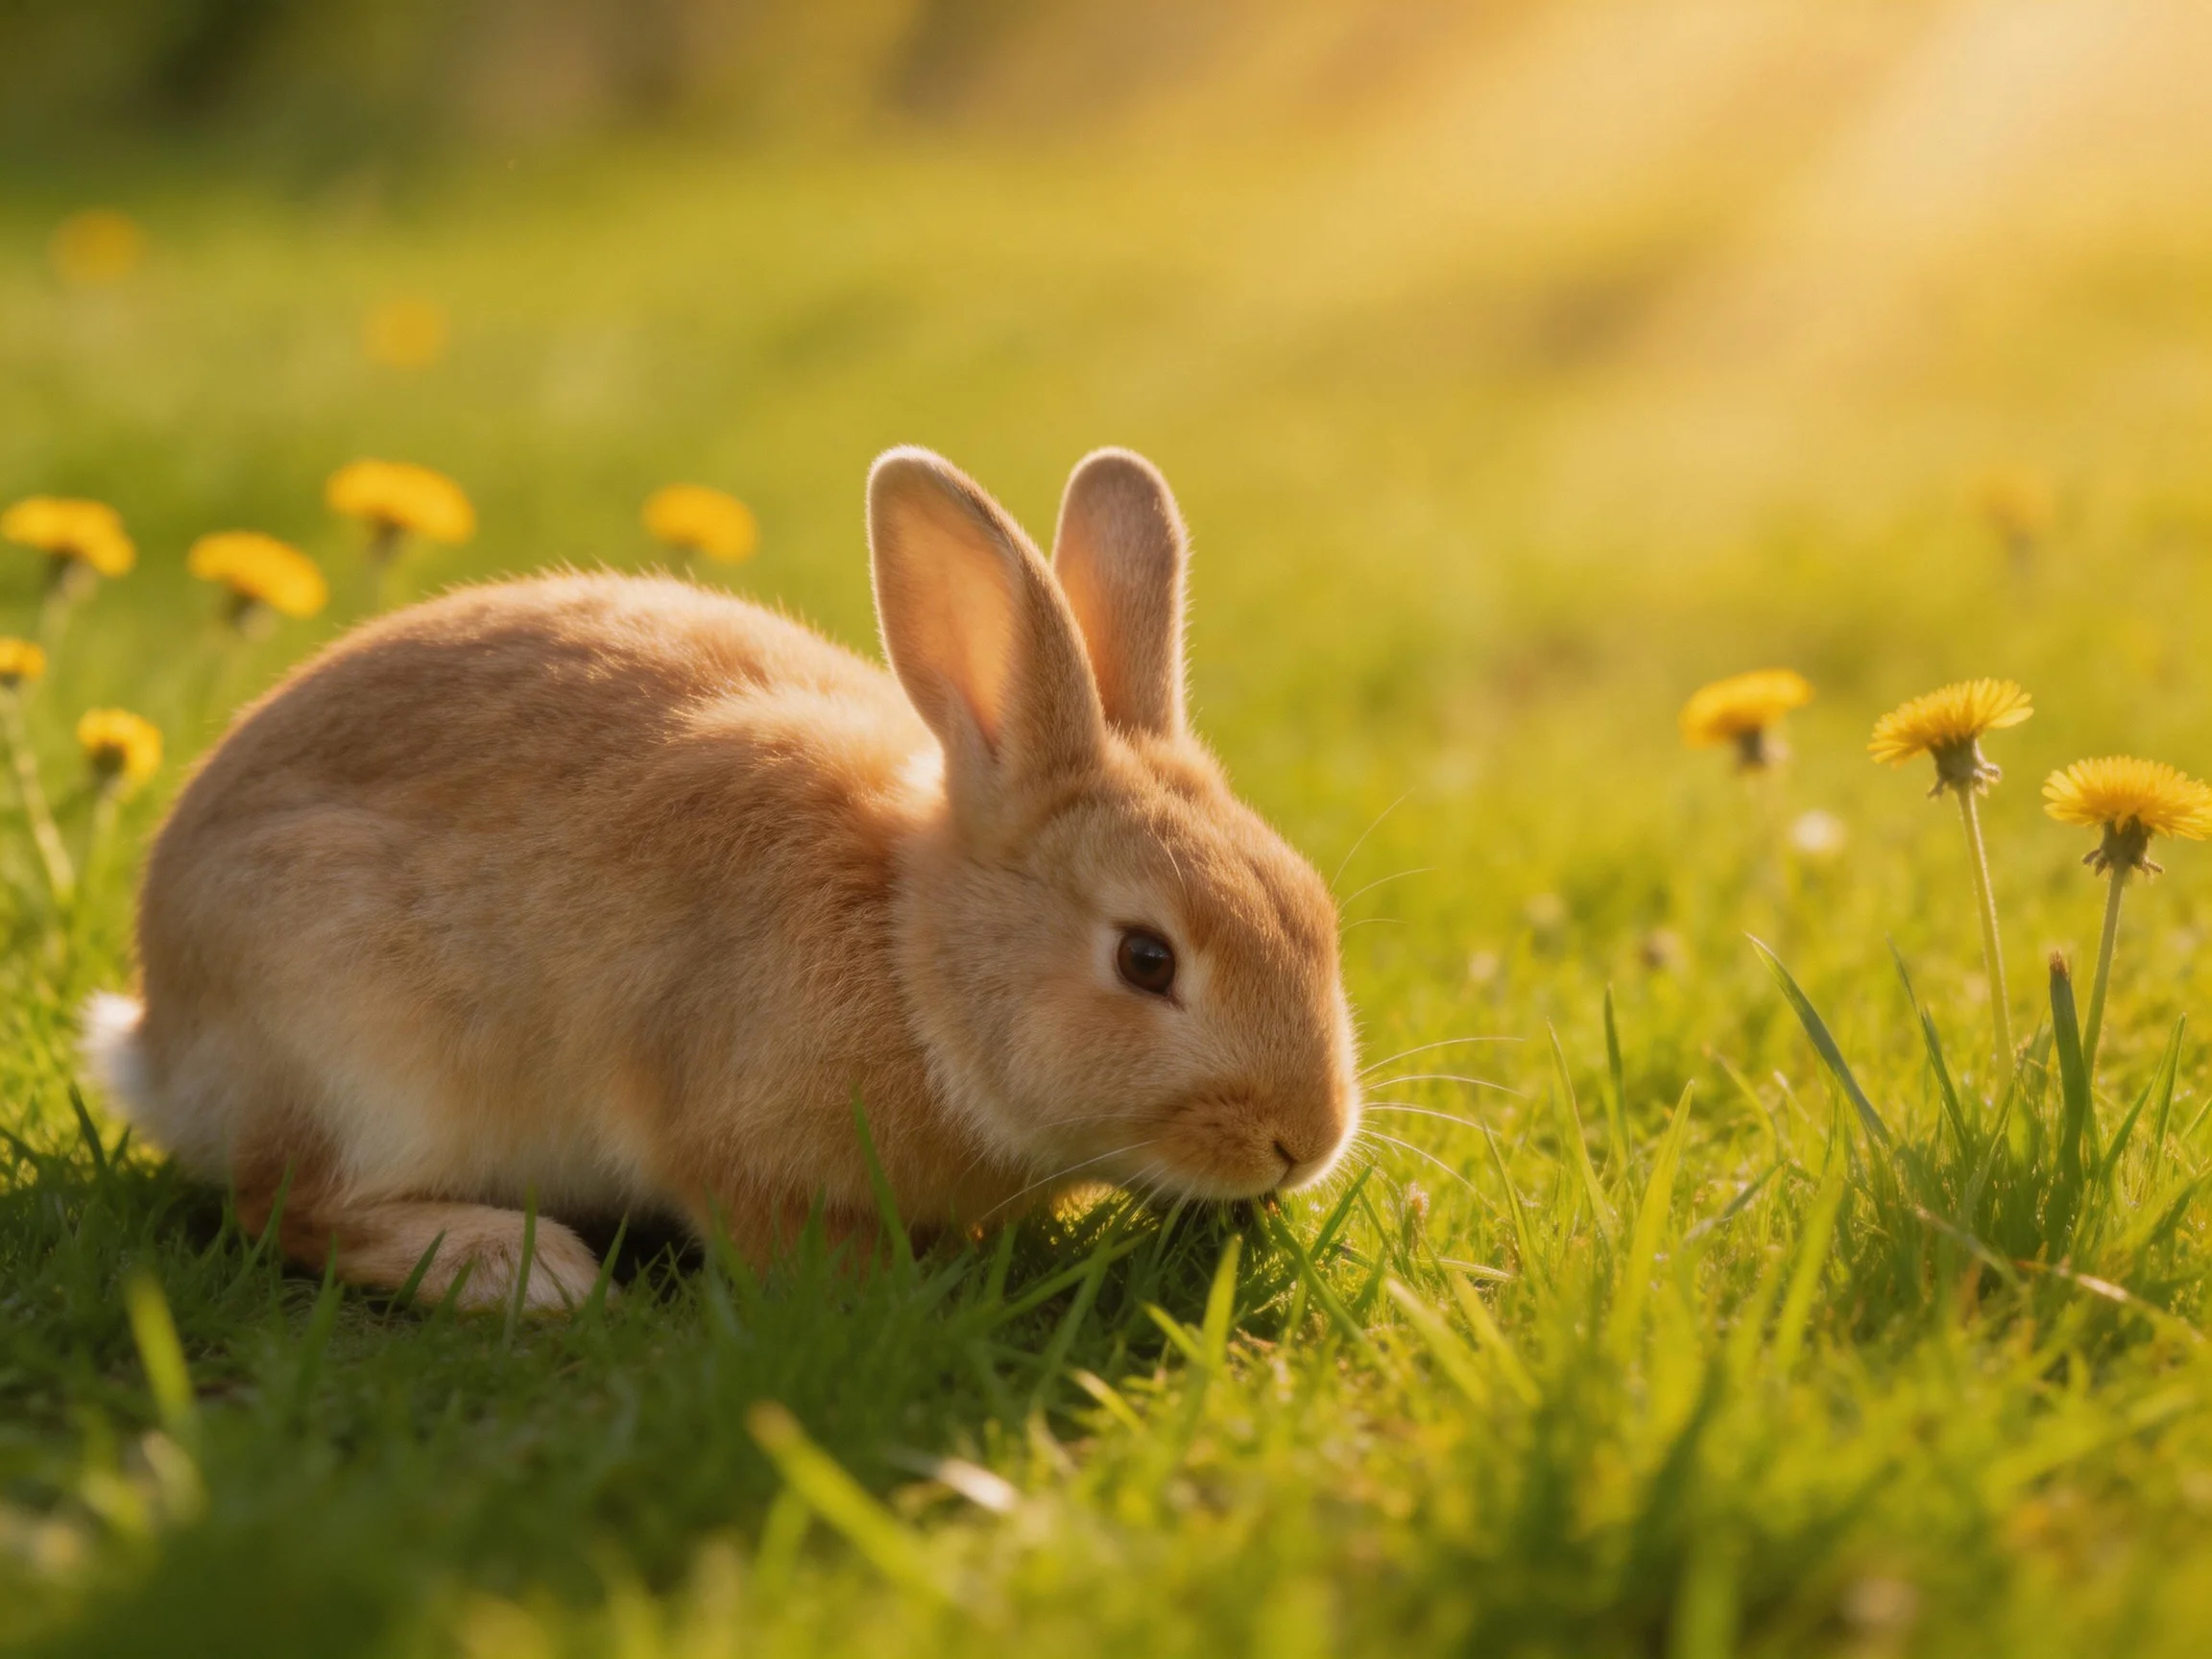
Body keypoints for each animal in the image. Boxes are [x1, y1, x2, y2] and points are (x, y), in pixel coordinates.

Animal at [83, 447, 1362, 1310]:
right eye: (1146, 960)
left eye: (1314, 911)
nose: (1306, 1141)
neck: (911, 960)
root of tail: (157, 1043)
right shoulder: (722, 1139)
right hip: (360, 1055)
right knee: (281, 1205)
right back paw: (525, 1273)